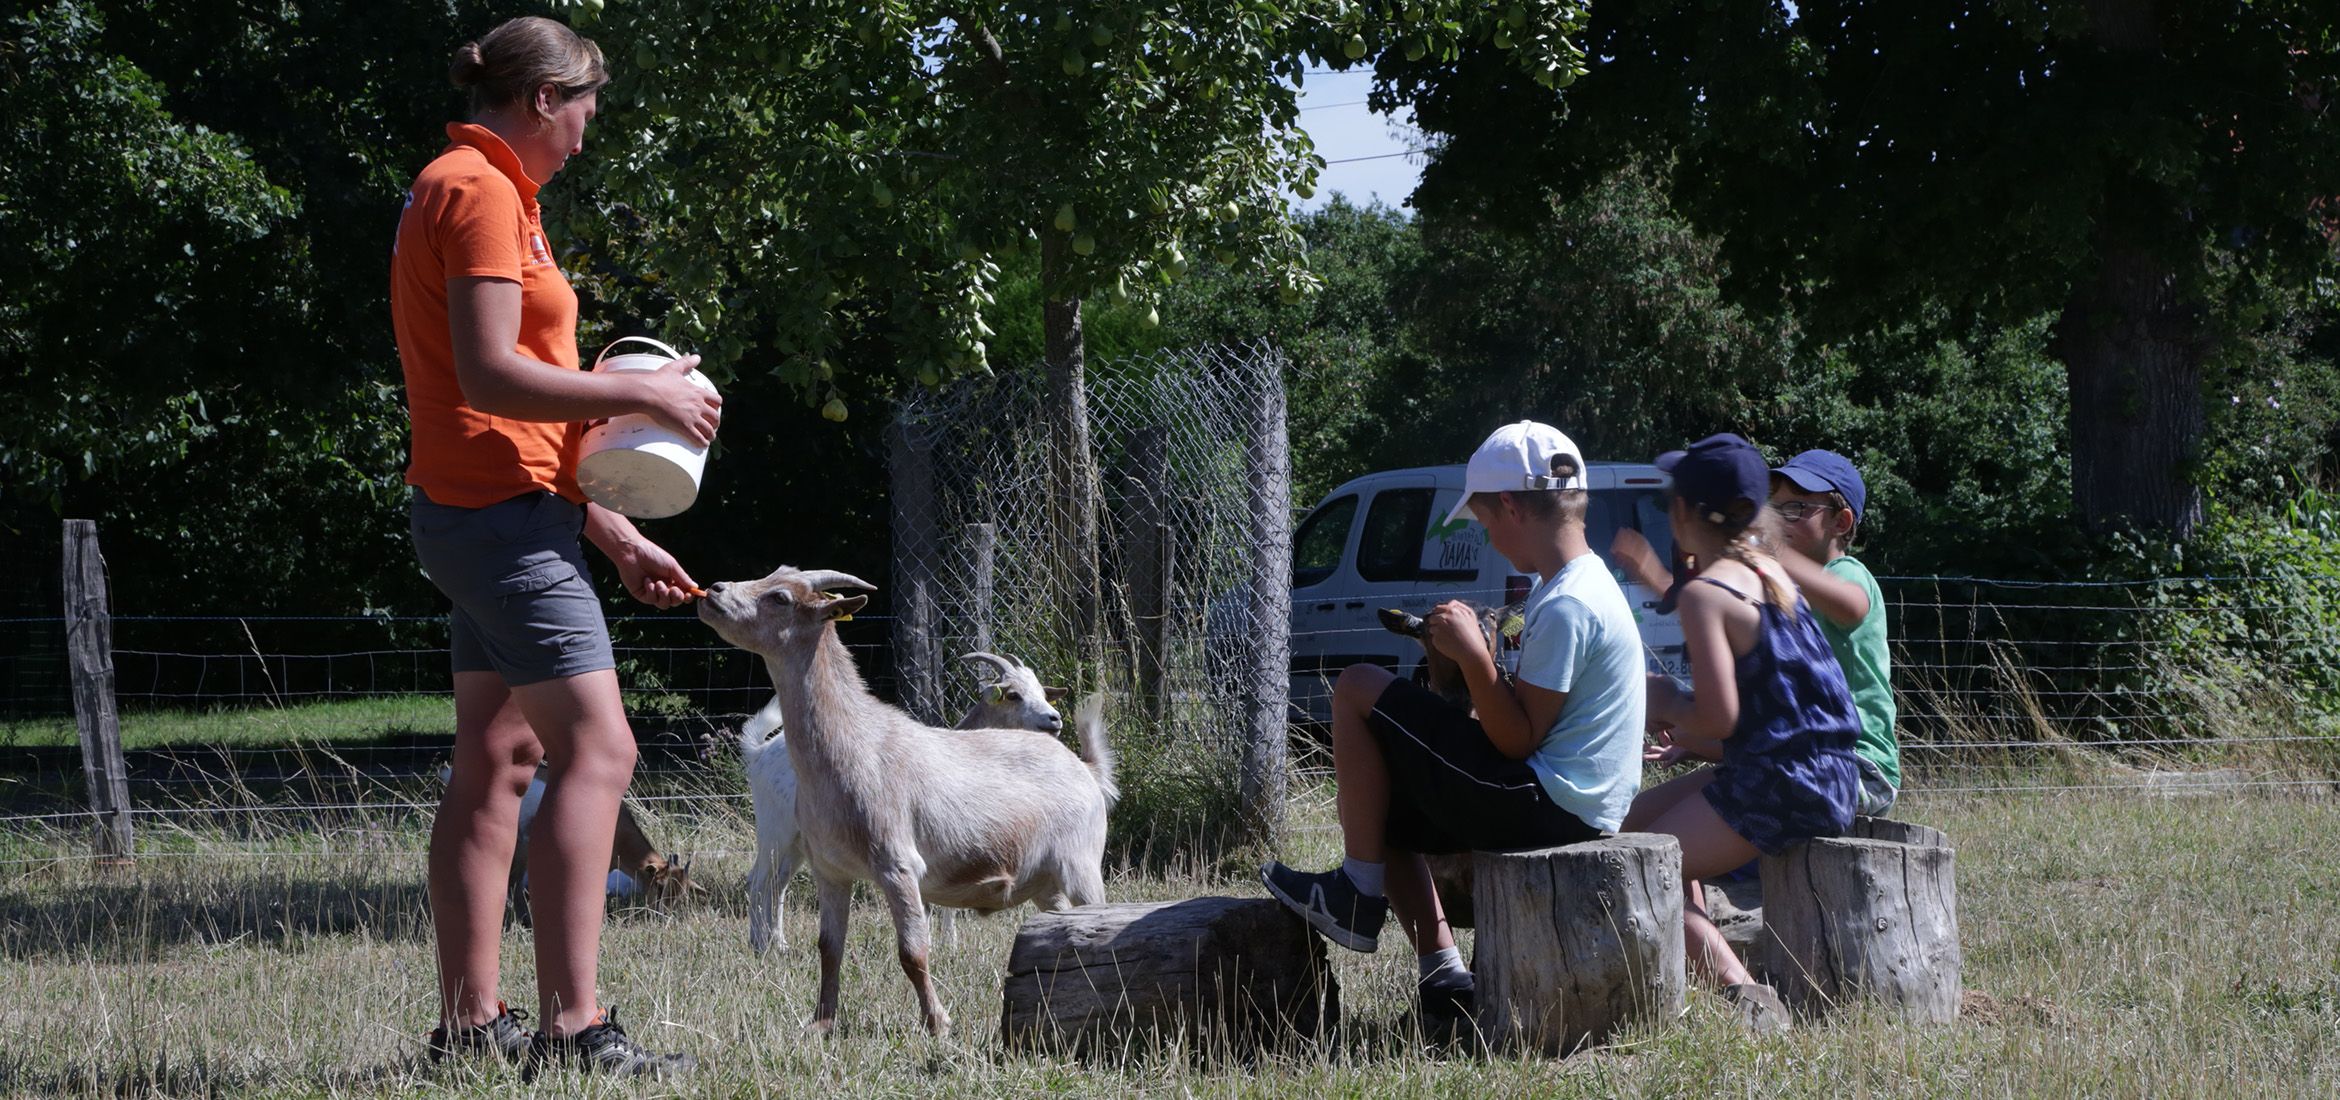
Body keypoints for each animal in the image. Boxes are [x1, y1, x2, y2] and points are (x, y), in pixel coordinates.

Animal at [739, 655, 1076, 954]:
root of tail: (760, 752)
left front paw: (947, 943)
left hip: (798, 842)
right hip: (775, 832)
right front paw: (944, 944)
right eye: (1014, 695)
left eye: (1042, 692)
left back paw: (779, 943)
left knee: (779, 883)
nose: (1054, 719)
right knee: (758, 880)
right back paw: (758, 944)